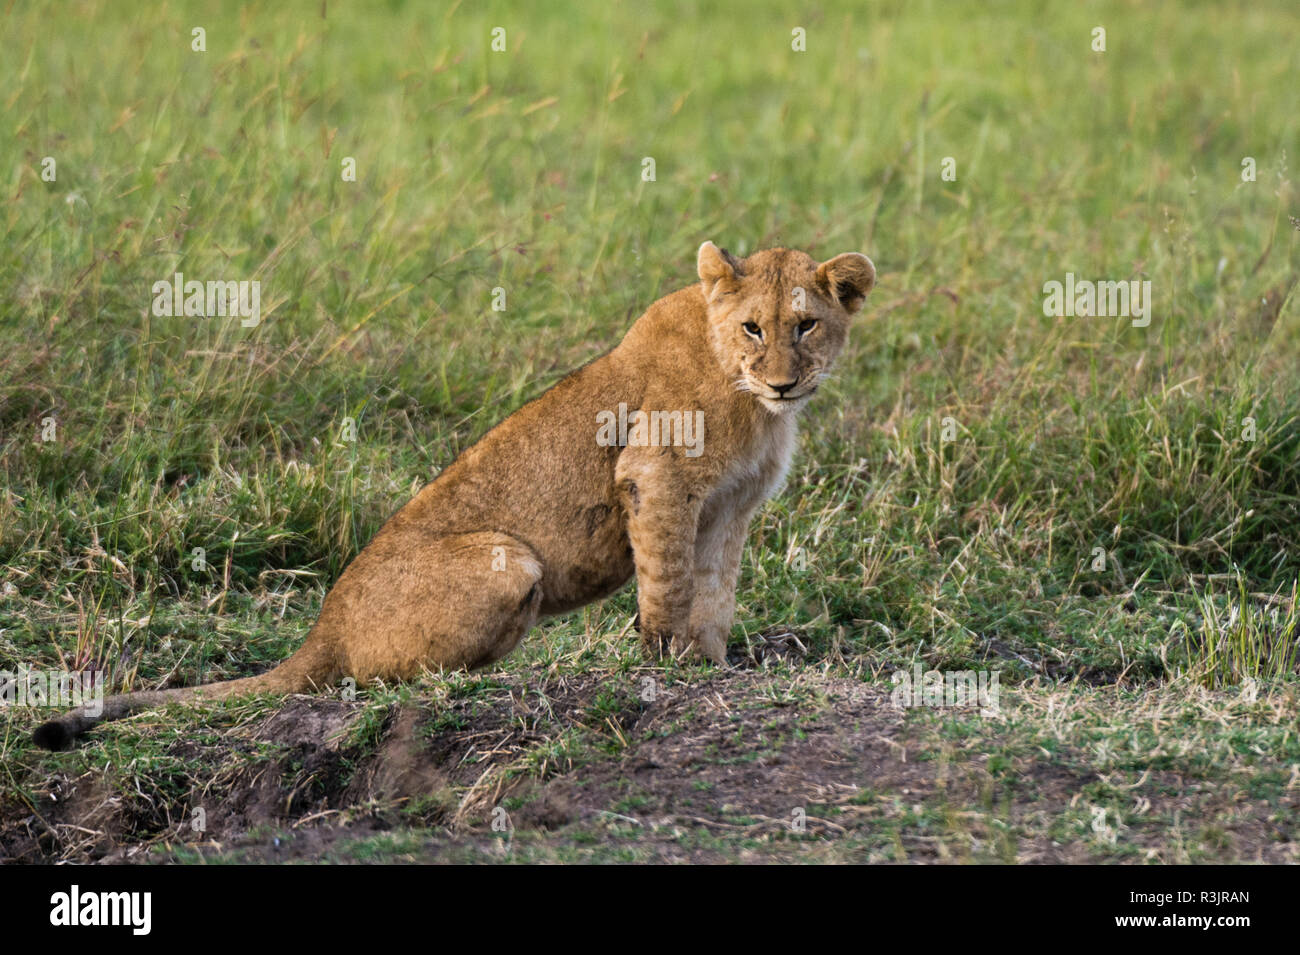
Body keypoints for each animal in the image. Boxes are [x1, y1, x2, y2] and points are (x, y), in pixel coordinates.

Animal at [32, 242, 875, 749]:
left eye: (806, 325)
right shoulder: (656, 475)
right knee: (383, 675)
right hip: (510, 556)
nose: (784, 380)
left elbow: (715, 593)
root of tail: (323, 627)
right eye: (753, 327)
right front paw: (664, 667)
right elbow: (667, 586)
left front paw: (711, 665)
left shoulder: (730, 508)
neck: (754, 406)